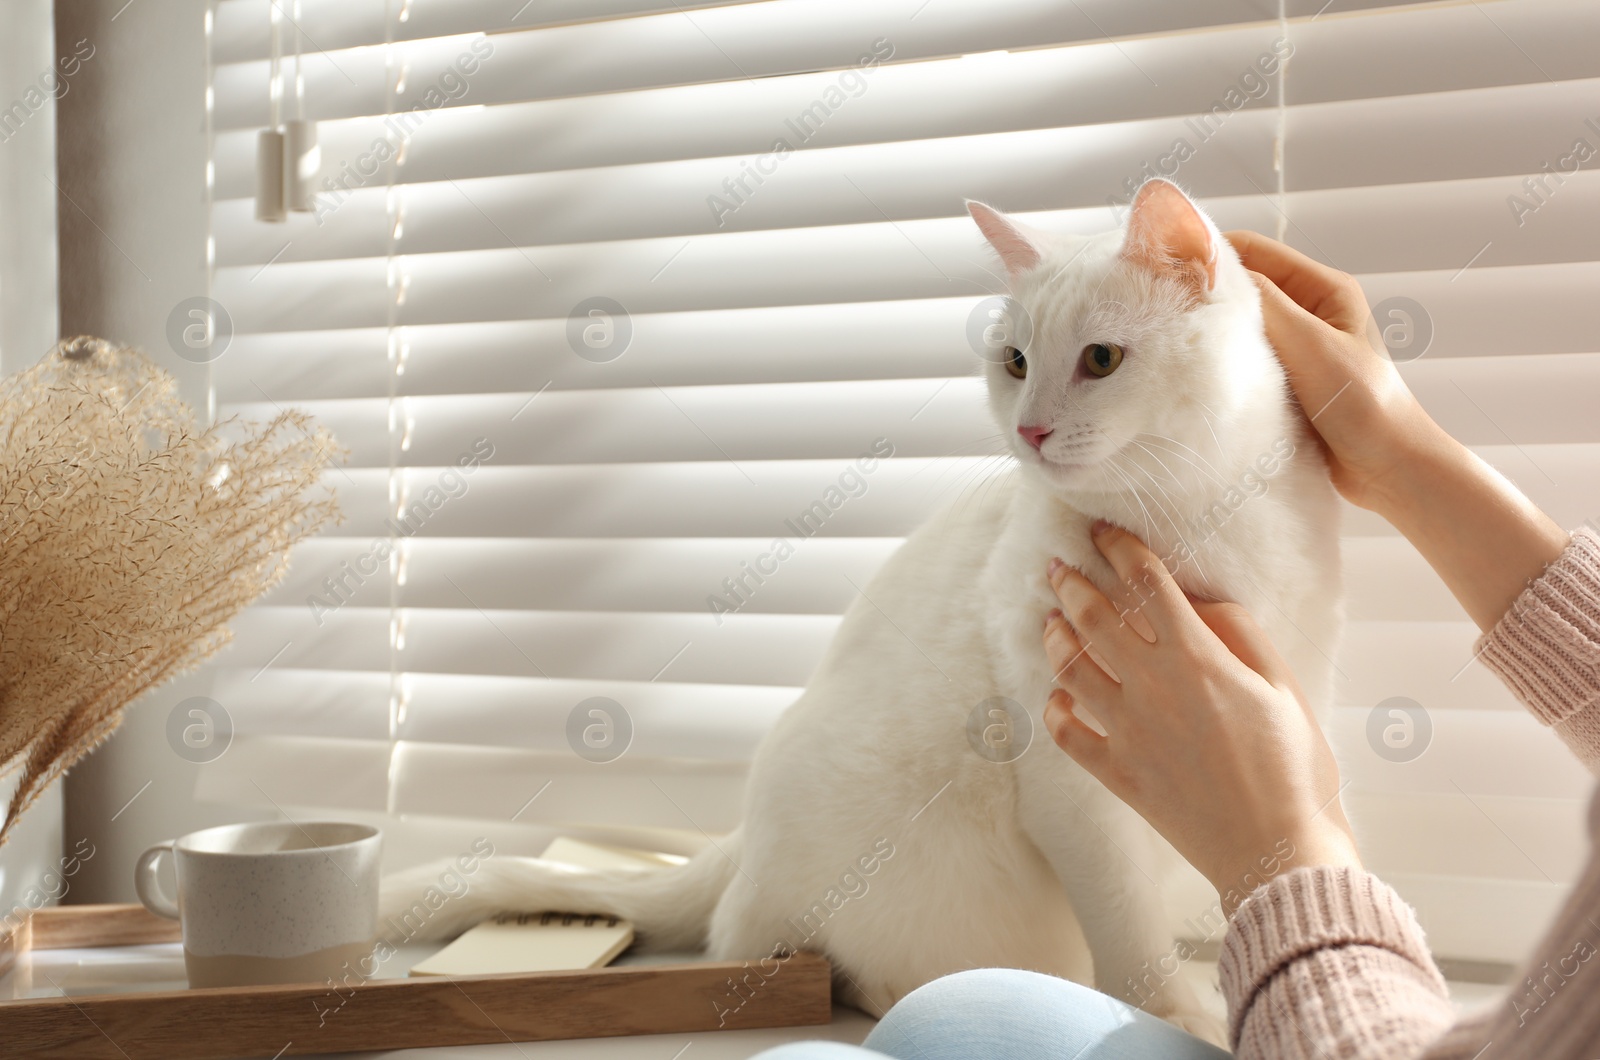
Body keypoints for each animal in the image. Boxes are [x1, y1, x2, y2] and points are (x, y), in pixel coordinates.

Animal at [380, 178, 1344, 1043]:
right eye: (1017, 363)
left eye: (1100, 359)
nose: (1029, 429)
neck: (1196, 525)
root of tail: (740, 841)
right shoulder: (1071, 786)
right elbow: (1128, 925)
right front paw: (1176, 1015)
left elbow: (1260, 850)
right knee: (796, 951)